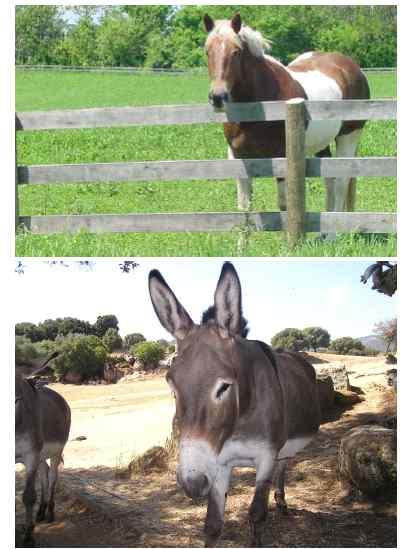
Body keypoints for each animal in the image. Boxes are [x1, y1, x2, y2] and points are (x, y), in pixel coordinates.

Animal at [149, 264, 322, 544]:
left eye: (224, 386)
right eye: (171, 385)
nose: (192, 483)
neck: (240, 420)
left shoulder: (265, 457)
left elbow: (257, 514)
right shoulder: (219, 462)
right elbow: (212, 525)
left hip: (284, 447)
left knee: (283, 466)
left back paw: (282, 502)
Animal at [203, 12, 370, 214]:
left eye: (236, 51)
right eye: (207, 51)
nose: (218, 97)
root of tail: (351, 67)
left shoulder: (282, 157)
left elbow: (284, 206)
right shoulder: (239, 157)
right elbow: (244, 206)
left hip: (349, 135)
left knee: (341, 182)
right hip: (322, 143)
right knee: (329, 180)